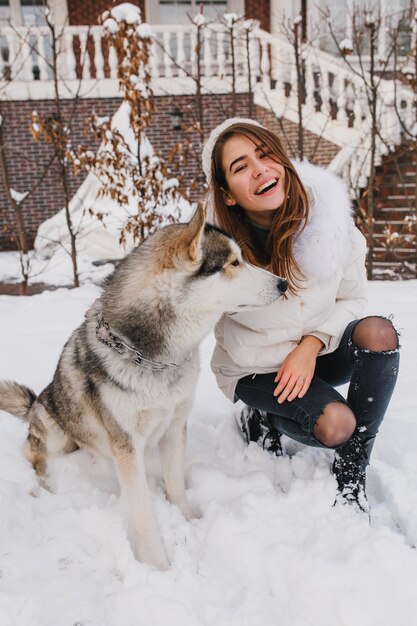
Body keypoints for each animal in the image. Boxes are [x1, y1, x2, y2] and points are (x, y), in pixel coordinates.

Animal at [0, 204, 286, 564]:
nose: (283, 283)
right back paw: (45, 484)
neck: (155, 358)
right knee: (32, 451)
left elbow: (175, 485)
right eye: (233, 263)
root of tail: (35, 403)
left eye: (243, 259)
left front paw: (189, 517)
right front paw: (158, 565)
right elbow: (143, 513)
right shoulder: (126, 444)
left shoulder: (175, 425)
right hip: (52, 431)